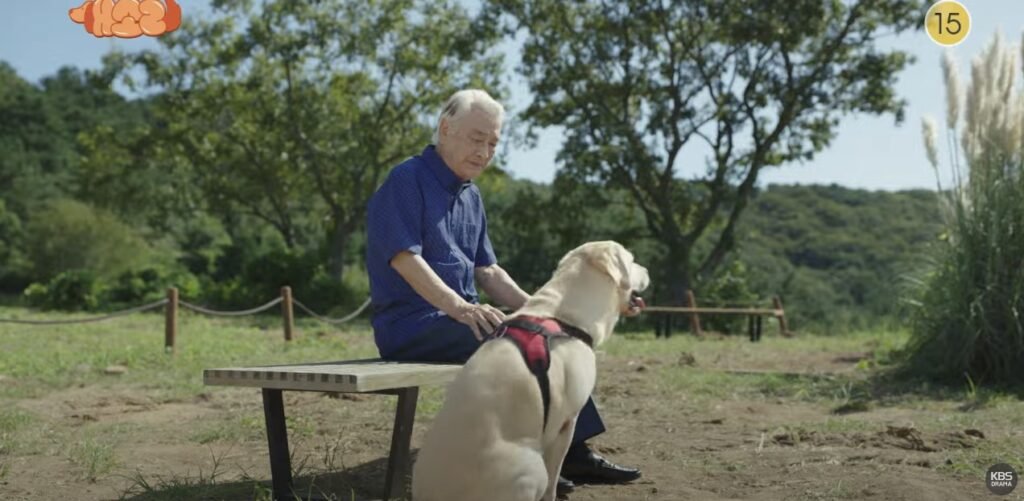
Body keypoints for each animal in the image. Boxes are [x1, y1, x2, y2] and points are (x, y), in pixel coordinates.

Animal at [409, 239, 643, 497]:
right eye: (632, 260)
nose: (647, 270)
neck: (562, 315)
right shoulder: (566, 422)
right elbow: (553, 479)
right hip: (531, 465)